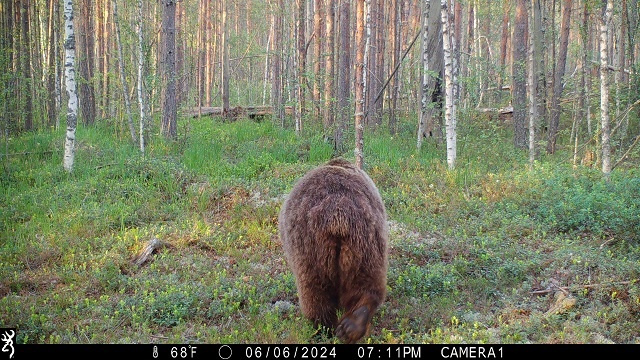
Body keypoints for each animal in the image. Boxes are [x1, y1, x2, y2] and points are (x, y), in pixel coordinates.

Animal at [278, 158, 390, 344]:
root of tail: (338, 214)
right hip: (365, 244)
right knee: (367, 283)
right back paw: (352, 325)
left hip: (309, 249)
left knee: (314, 294)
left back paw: (323, 330)